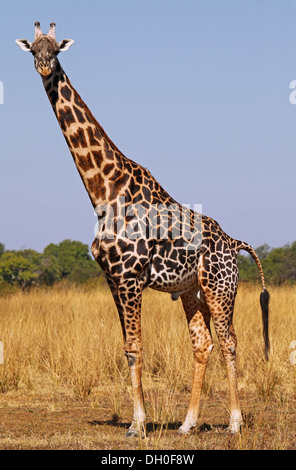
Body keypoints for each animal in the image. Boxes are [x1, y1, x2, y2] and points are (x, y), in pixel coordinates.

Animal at [16, 23, 270, 436]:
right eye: (32, 50)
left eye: (56, 49)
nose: (43, 66)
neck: (104, 190)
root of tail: (234, 243)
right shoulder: (112, 278)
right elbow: (127, 347)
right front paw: (141, 420)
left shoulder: (131, 277)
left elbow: (135, 347)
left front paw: (138, 425)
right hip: (192, 292)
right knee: (203, 344)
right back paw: (187, 425)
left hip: (221, 287)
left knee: (229, 341)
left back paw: (234, 423)